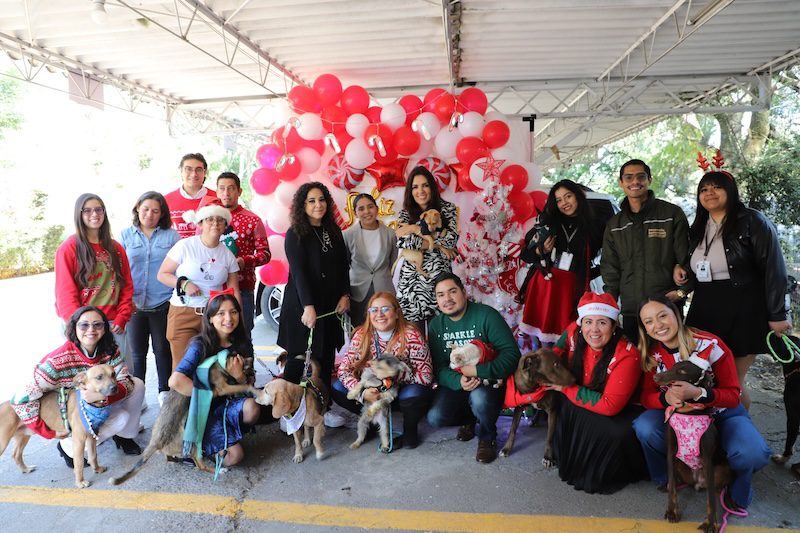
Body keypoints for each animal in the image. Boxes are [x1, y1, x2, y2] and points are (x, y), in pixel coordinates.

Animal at [109, 351, 259, 485]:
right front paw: (255, 391)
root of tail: (157, 441)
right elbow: (244, 385)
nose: (253, 359)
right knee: (200, 464)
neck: (219, 363)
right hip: (190, 443)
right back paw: (219, 470)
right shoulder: (223, 387)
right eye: (242, 360)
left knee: (170, 457)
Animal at [654, 360, 732, 533]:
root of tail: (697, 482)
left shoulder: (707, 458)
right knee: (675, 481)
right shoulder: (671, 452)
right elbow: (673, 487)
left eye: (682, 372)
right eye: (673, 367)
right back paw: (666, 485)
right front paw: (672, 511)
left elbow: (711, 500)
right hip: (680, 465)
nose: (656, 377)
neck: (687, 411)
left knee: (718, 489)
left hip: (724, 467)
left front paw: (710, 523)